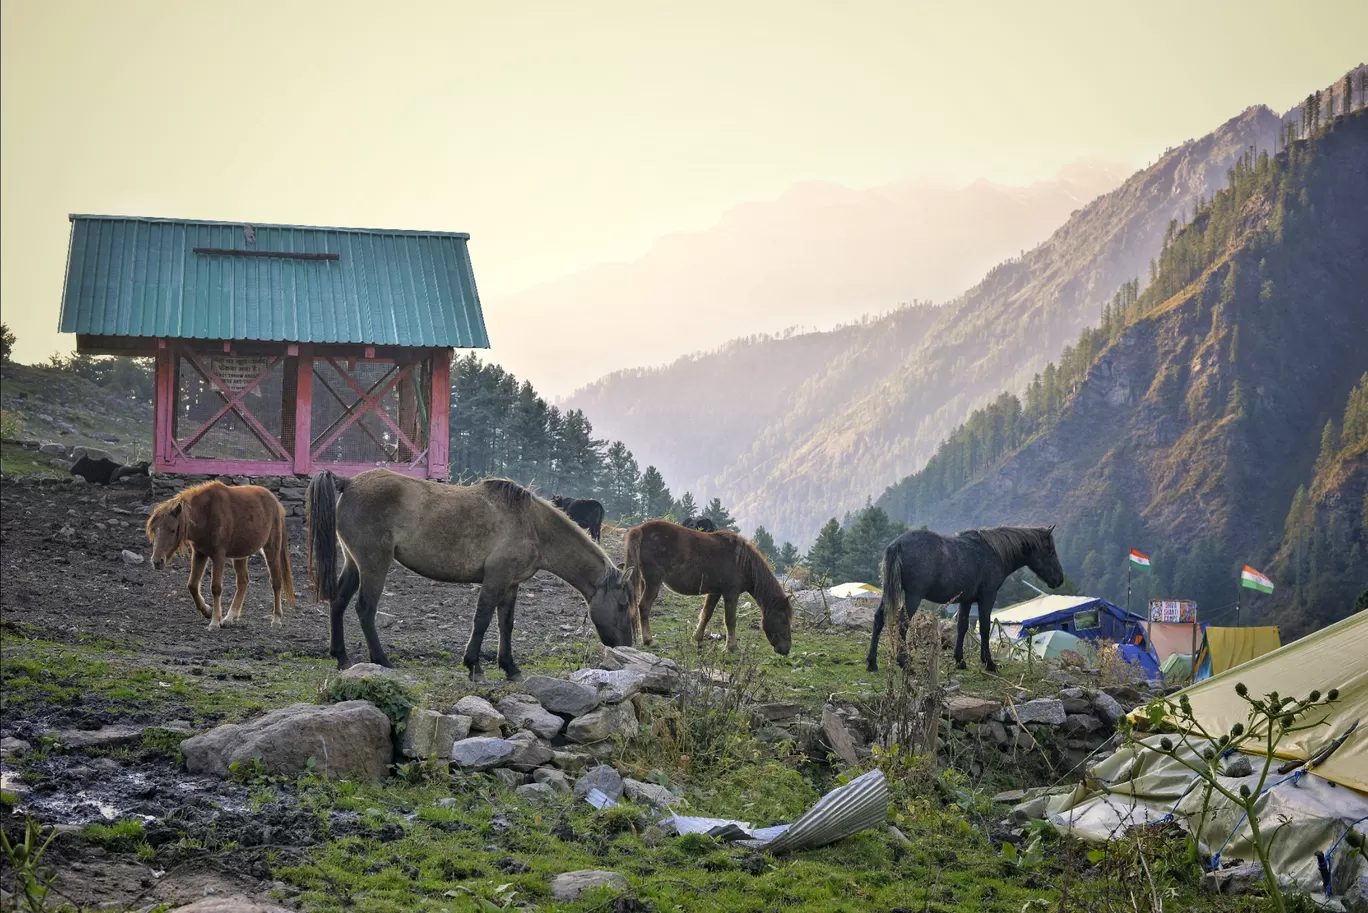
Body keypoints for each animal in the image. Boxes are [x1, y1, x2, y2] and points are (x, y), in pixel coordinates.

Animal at [145, 481, 292, 632]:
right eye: (154, 529)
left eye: (173, 530)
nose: (157, 561)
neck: (206, 514)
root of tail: (275, 502)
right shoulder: (200, 553)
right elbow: (192, 585)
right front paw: (207, 611)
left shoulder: (218, 555)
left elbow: (216, 588)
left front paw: (214, 622)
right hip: (240, 554)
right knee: (243, 581)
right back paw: (230, 617)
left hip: (271, 549)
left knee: (276, 582)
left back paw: (276, 619)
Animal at [305, 470, 634, 678]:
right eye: (622, 605)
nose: (626, 646)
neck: (533, 525)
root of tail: (348, 482)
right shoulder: (496, 579)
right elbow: (483, 619)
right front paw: (474, 665)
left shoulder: (511, 584)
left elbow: (505, 625)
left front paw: (510, 667)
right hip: (375, 564)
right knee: (365, 609)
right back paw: (382, 660)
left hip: (354, 563)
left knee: (339, 602)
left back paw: (341, 657)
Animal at [621, 520, 793, 657]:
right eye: (783, 619)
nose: (785, 650)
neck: (743, 562)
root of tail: (641, 529)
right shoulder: (731, 593)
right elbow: (730, 620)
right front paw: (732, 647)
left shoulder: (715, 592)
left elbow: (706, 615)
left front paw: (697, 637)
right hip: (654, 583)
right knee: (644, 607)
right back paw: (648, 640)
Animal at [864, 525, 1067, 676]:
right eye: (1050, 551)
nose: (1059, 579)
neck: (992, 552)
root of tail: (897, 544)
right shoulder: (987, 598)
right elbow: (984, 628)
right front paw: (989, 663)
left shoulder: (966, 601)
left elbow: (962, 627)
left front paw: (960, 660)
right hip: (913, 596)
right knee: (902, 624)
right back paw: (904, 662)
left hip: (890, 592)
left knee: (879, 618)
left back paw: (872, 662)